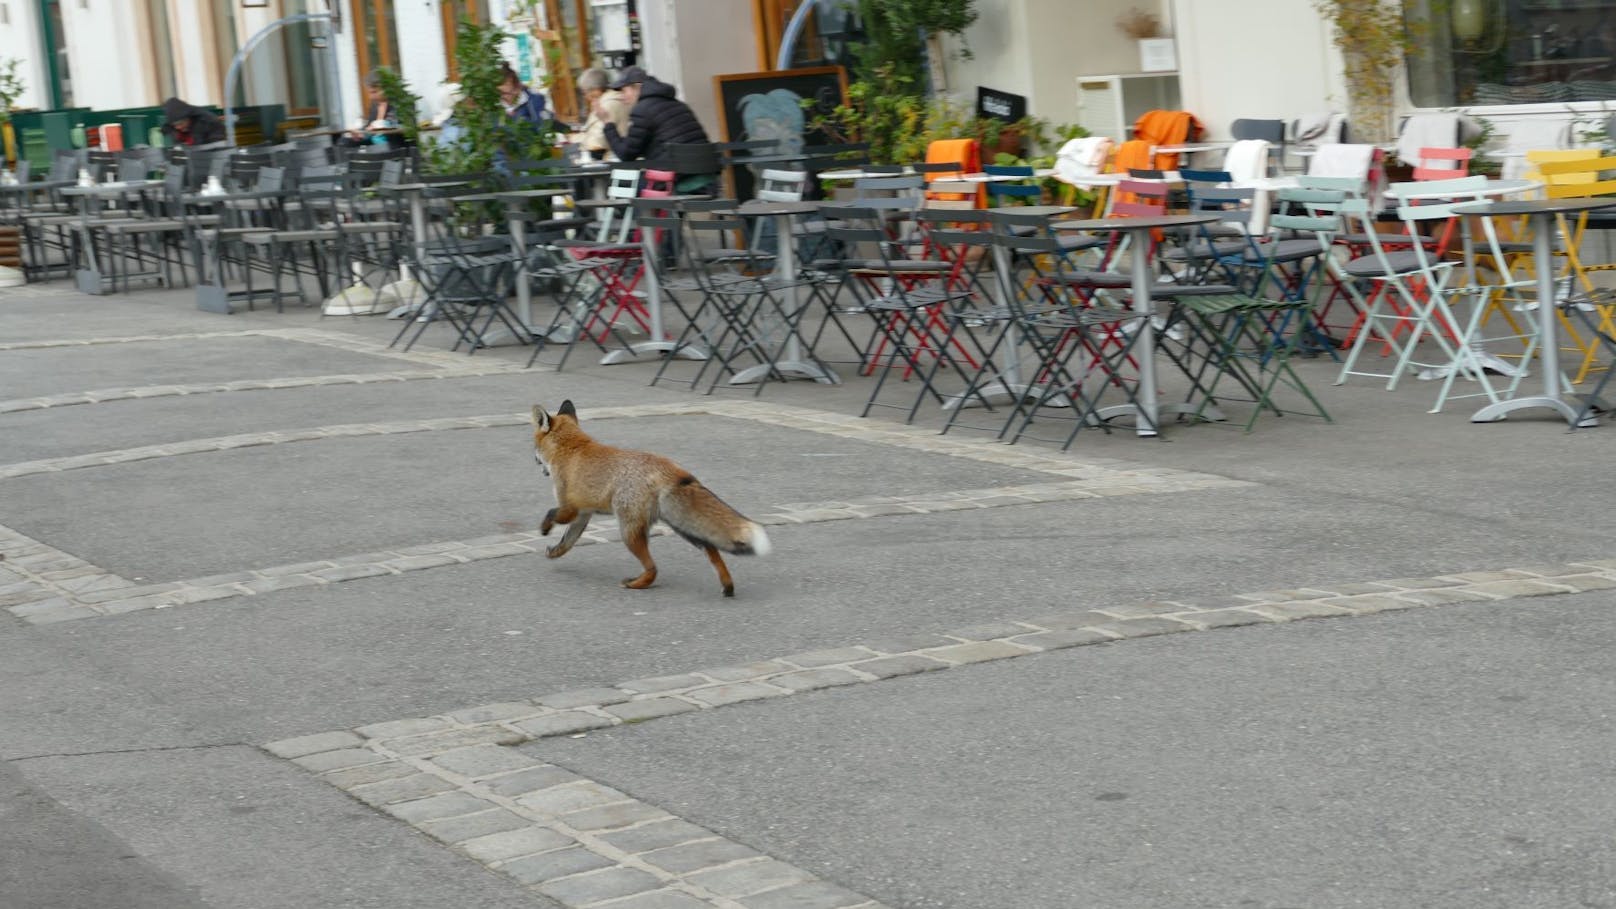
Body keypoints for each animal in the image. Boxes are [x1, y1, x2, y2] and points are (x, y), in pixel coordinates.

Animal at [533, 401, 772, 595]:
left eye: (534, 447)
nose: (534, 461)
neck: (571, 447)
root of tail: (669, 467)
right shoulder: (583, 513)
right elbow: (568, 541)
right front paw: (555, 553)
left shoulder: (569, 507)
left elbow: (551, 514)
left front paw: (544, 529)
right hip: (683, 526)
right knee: (712, 551)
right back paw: (728, 586)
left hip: (629, 531)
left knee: (653, 568)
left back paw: (636, 584)